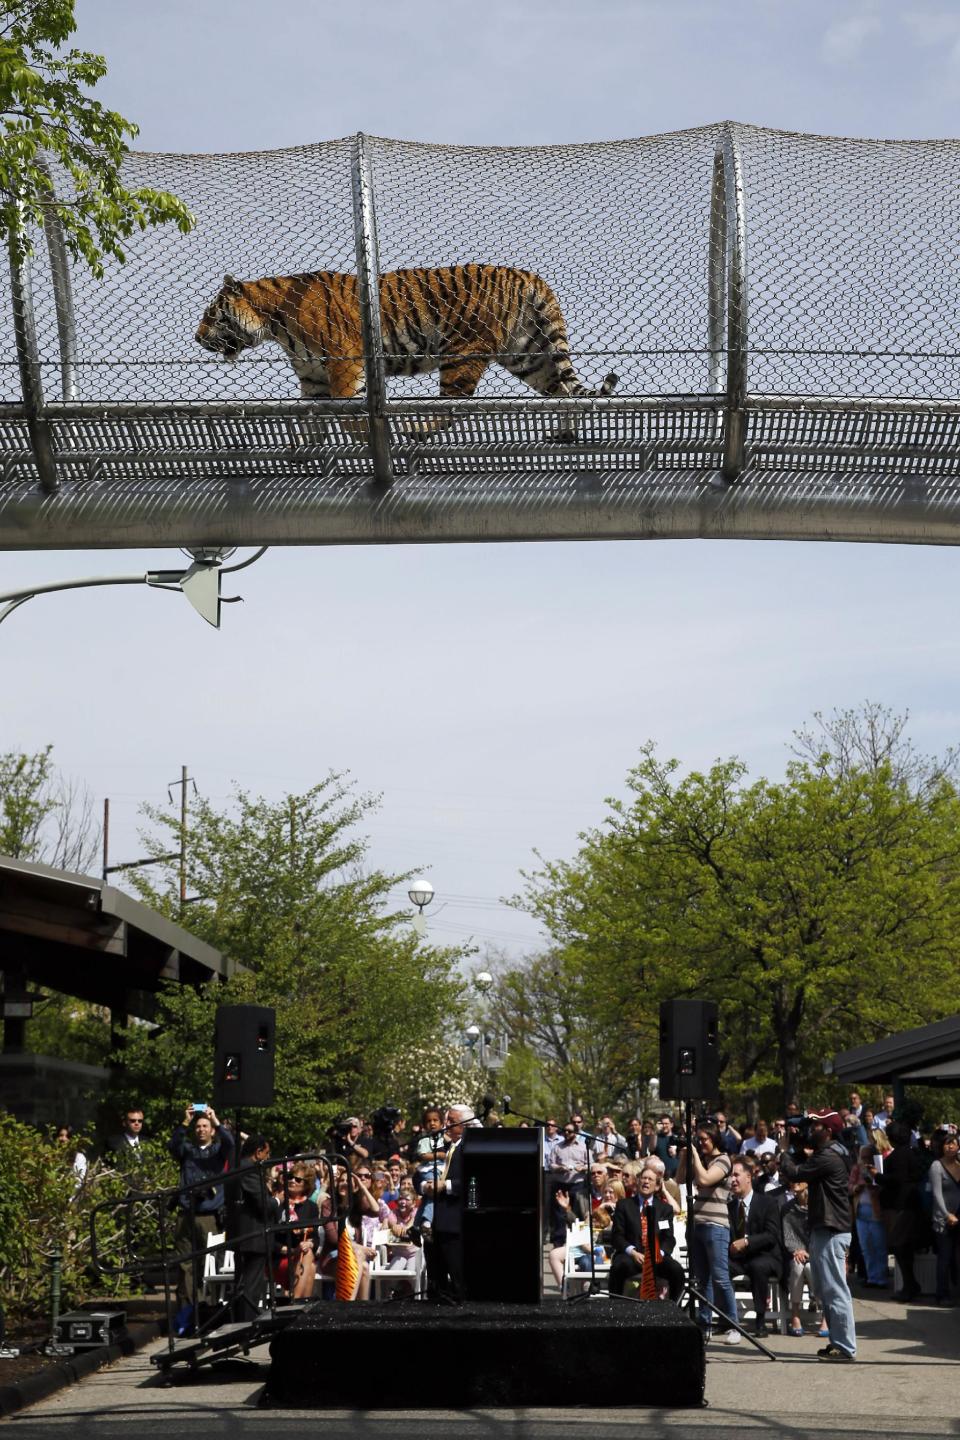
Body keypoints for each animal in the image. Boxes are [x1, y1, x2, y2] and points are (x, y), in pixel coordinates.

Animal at [195, 260, 618, 434]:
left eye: (212, 314)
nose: (196, 338)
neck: (275, 324)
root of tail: (528, 276)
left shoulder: (344, 362)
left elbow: (349, 412)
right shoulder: (312, 379)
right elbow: (312, 420)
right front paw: (304, 450)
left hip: (463, 351)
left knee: (452, 407)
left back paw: (416, 429)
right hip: (528, 354)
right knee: (564, 392)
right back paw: (563, 435)